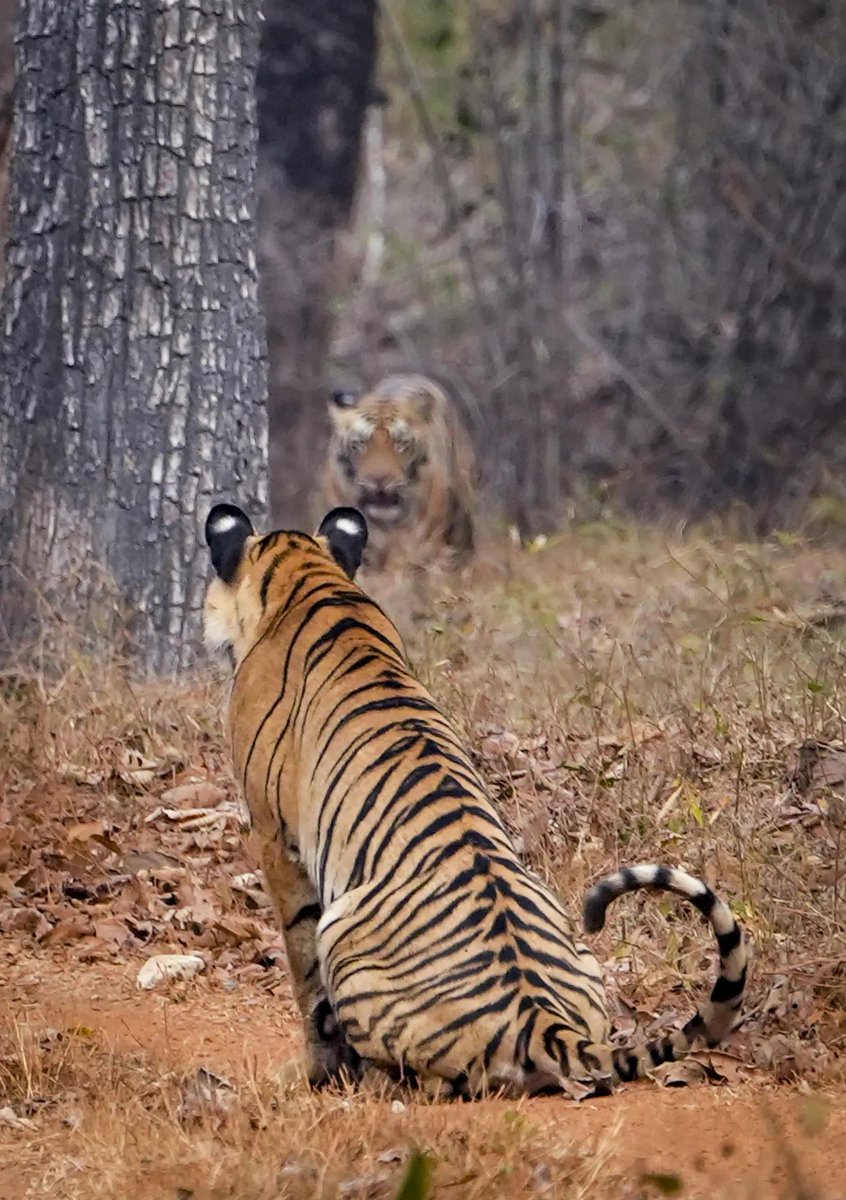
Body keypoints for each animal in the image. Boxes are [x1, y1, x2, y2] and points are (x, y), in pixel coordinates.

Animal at [203, 501, 748, 1098]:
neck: (307, 576)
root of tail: (541, 1019)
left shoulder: (275, 838)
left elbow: (304, 977)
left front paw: (312, 1073)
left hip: (343, 938)